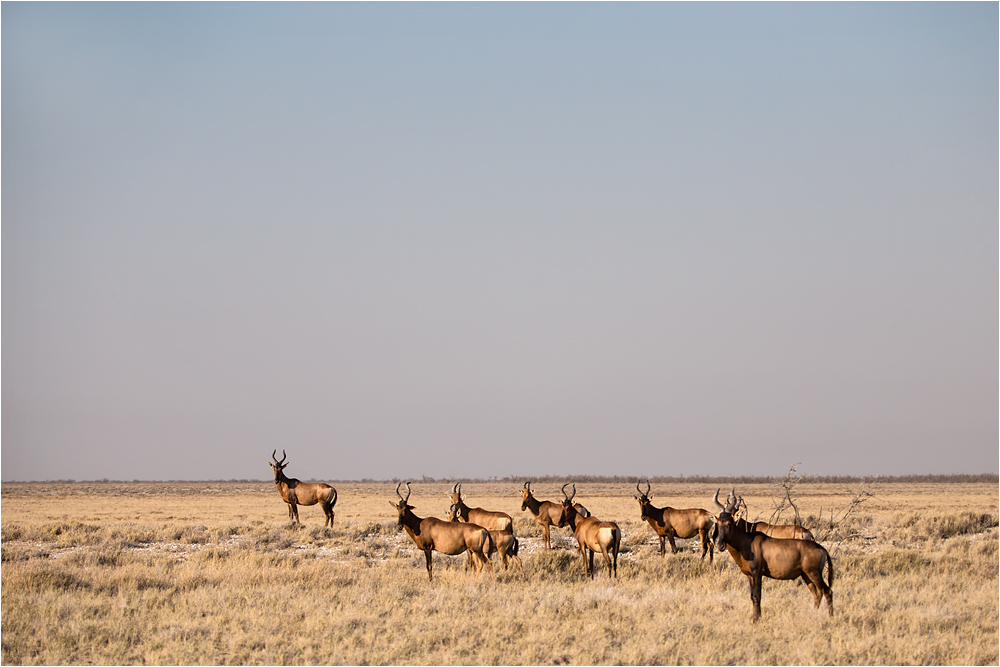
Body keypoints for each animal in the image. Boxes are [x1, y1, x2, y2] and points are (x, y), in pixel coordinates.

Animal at [712, 488, 836, 624]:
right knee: (817, 594)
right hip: (806, 575)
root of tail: (822, 549)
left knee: (828, 591)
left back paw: (830, 618)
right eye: (718, 523)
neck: (747, 541)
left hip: (815, 573)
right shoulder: (750, 575)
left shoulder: (757, 573)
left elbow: (757, 596)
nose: (720, 545)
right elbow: (752, 596)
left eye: (730, 523)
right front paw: (755, 618)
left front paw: (757, 620)